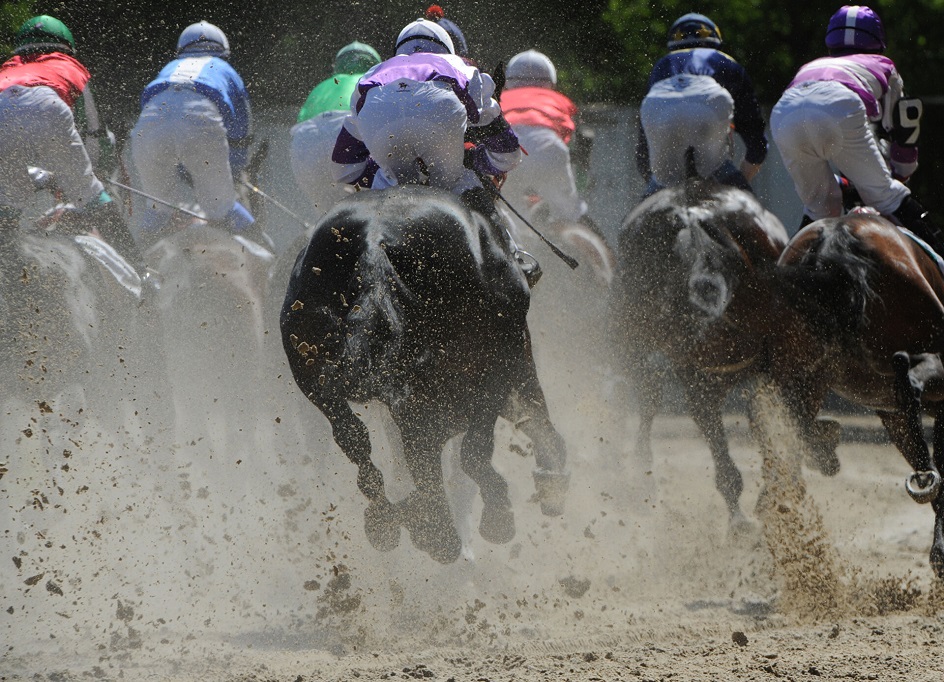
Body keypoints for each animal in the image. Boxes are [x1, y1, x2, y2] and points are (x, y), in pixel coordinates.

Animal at [280, 186, 568, 564]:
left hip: (312, 373)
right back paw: (445, 529)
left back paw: (389, 520)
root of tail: (374, 241)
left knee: (355, 437)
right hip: (477, 366)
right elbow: (482, 442)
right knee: (437, 444)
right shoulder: (501, 365)